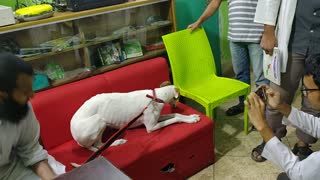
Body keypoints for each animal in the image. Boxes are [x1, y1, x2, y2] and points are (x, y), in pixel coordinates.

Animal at [70, 83, 200, 151]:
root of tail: (76, 138)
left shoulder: (157, 118)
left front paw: (192, 116)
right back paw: (118, 142)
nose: (177, 106)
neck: (155, 96)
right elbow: (176, 118)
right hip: (99, 122)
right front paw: (192, 120)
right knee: (98, 145)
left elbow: (175, 114)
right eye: (179, 98)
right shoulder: (151, 127)